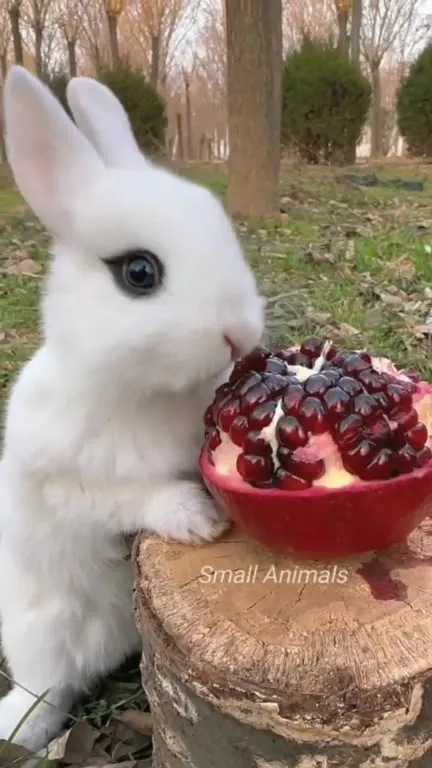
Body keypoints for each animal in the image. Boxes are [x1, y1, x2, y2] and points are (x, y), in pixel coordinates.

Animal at [0, 66, 265, 754]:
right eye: (139, 273)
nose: (239, 334)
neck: (147, 394)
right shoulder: (65, 481)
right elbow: (125, 496)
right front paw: (196, 518)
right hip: (43, 624)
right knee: (48, 687)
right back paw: (19, 727)